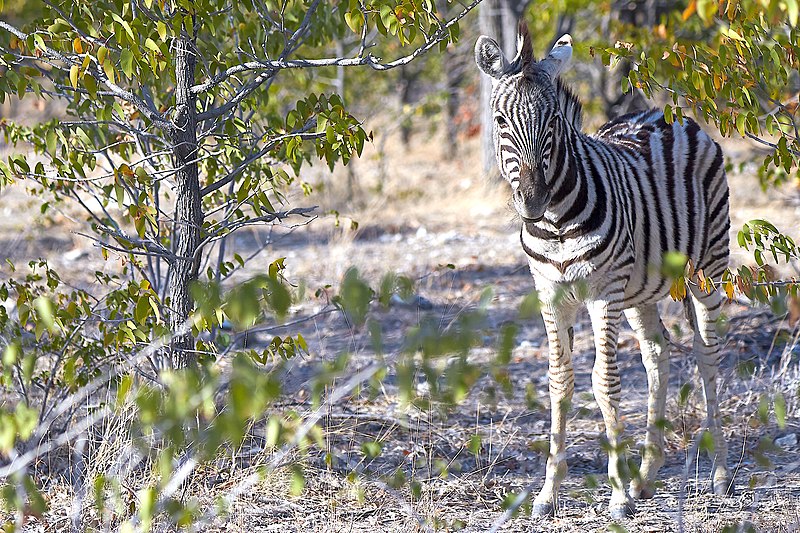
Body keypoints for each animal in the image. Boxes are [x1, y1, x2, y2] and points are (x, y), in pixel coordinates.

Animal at [476, 22, 732, 516]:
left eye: (553, 123)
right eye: (499, 122)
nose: (532, 202)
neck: (556, 224)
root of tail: (667, 114)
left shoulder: (602, 293)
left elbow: (604, 381)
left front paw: (616, 494)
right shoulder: (549, 291)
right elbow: (560, 379)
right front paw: (548, 493)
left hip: (706, 267)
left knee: (709, 353)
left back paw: (720, 476)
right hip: (641, 290)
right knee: (657, 354)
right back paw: (646, 478)